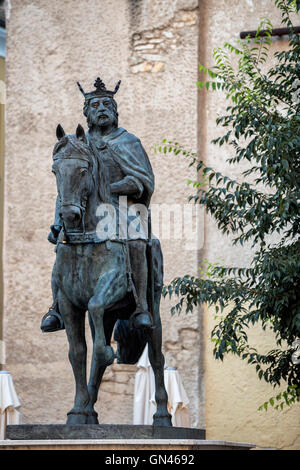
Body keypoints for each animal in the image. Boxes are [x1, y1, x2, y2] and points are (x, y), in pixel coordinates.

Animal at [50, 124, 172, 426]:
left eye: (84, 169)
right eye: (55, 170)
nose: (68, 215)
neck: (86, 237)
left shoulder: (114, 285)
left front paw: (107, 354)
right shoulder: (68, 303)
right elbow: (78, 353)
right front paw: (77, 411)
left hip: (151, 308)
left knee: (156, 356)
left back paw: (162, 415)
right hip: (108, 316)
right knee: (96, 350)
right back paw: (89, 410)